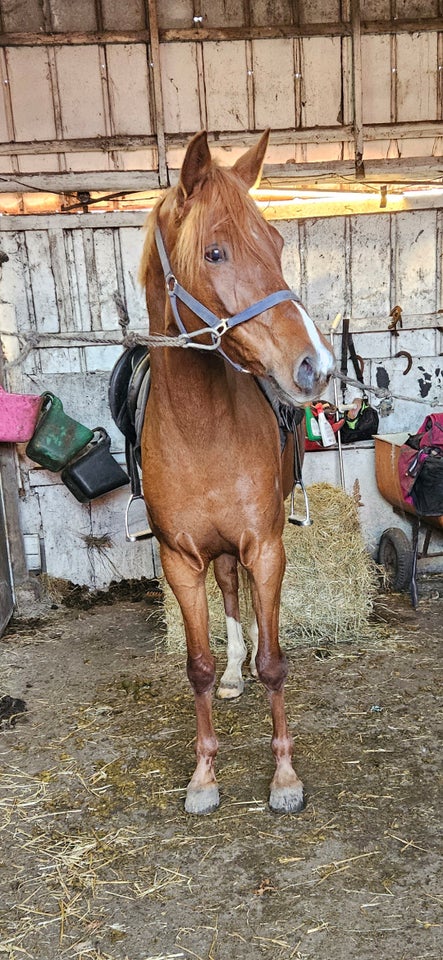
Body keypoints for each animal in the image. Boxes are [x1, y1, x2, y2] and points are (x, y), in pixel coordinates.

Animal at [139, 129, 336, 816]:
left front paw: (285, 777)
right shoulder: (180, 559)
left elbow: (276, 661)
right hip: (217, 554)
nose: (317, 366)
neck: (202, 428)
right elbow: (194, 667)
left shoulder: (268, 546)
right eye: (215, 252)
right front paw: (203, 777)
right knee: (230, 594)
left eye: (276, 244)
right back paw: (232, 671)